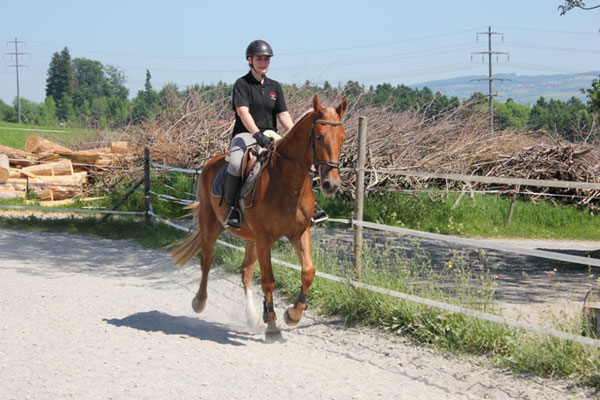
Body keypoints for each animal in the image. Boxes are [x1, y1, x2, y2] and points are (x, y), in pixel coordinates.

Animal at [170, 94, 346, 340]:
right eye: (319, 137)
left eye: (343, 138)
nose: (332, 184)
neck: (286, 181)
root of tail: (209, 164)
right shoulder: (265, 239)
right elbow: (268, 281)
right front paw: (272, 325)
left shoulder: (299, 233)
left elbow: (309, 272)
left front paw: (293, 314)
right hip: (211, 226)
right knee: (206, 262)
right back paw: (199, 302)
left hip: (250, 238)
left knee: (245, 272)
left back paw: (253, 317)